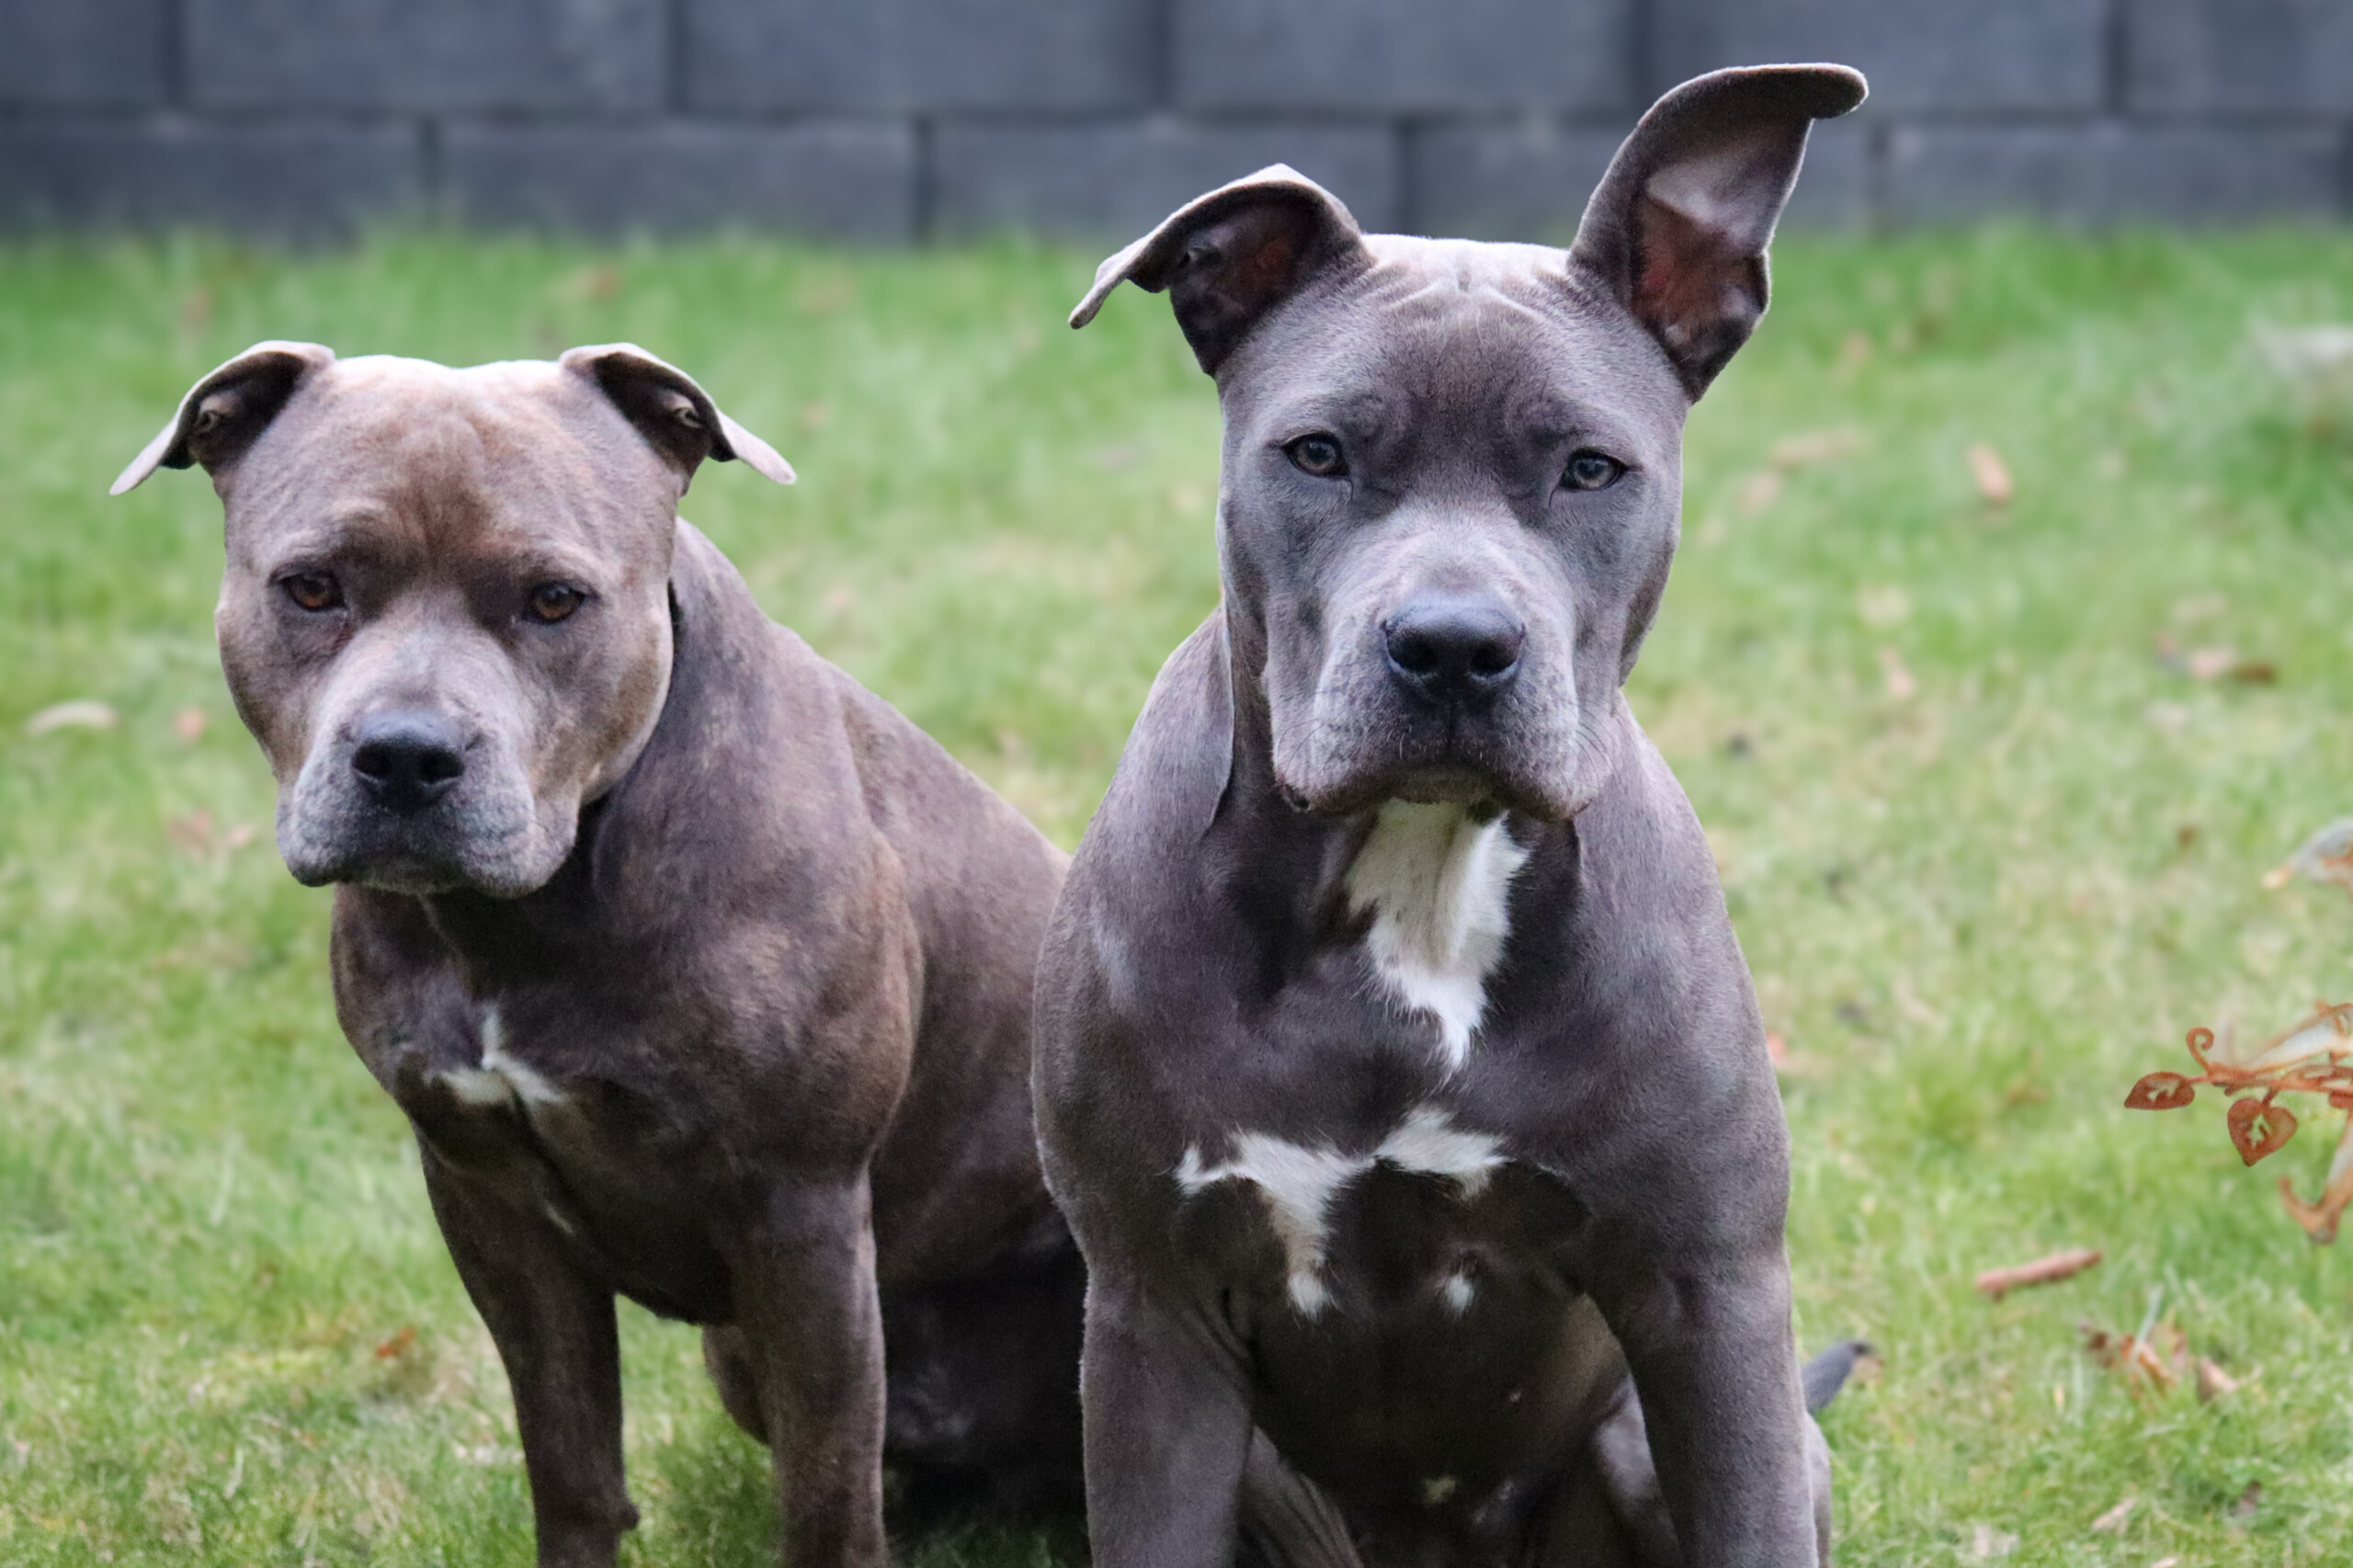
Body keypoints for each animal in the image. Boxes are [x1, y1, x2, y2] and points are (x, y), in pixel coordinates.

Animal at [114, 343, 1083, 1568]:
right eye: (313, 586)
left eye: (554, 599)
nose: (407, 755)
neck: (525, 913)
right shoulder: (492, 1204)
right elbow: (571, 1461)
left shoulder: (803, 1220)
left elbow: (823, 1493)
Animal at [1033, 65, 1870, 1568]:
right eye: (1316, 452)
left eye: (1591, 469)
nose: (1454, 645)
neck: (1415, 886)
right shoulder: (1151, 1316)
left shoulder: (1712, 1296)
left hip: (1652, 1431)